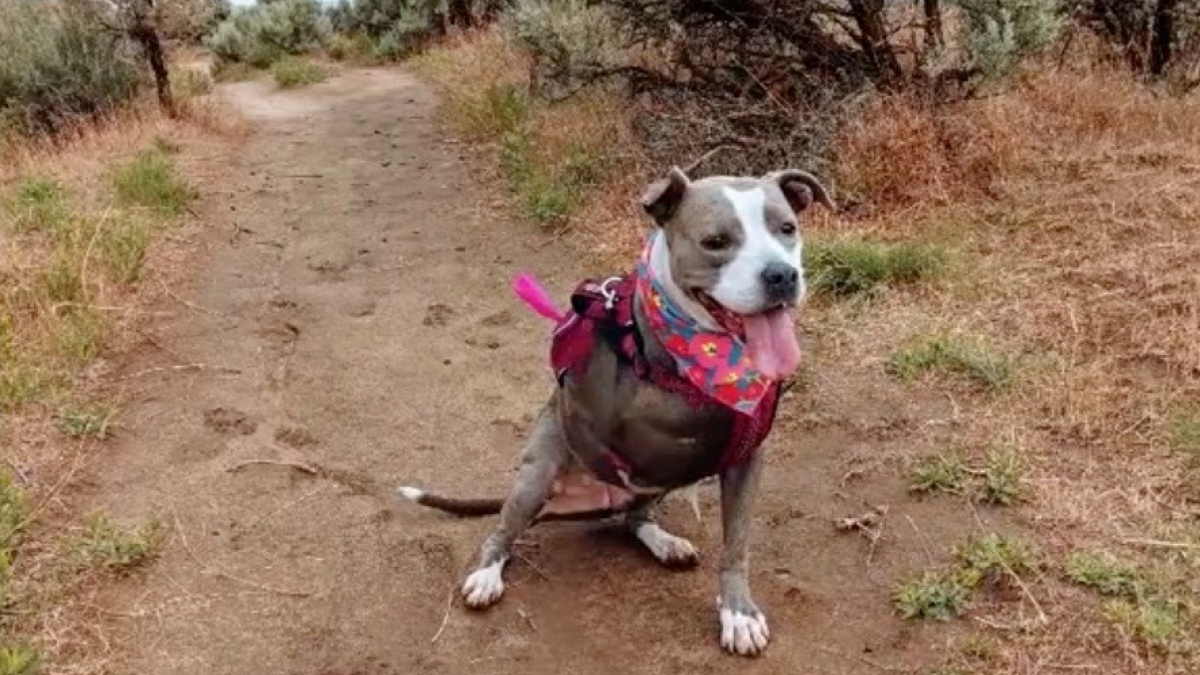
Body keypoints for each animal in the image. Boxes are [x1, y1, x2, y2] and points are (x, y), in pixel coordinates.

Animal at [403, 165, 835, 653]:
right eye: (715, 241)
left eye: (787, 229)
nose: (782, 275)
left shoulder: (745, 458)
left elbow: (736, 542)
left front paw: (738, 612)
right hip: (537, 477)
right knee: (504, 528)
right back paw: (486, 574)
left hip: (647, 487)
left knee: (633, 516)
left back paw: (664, 542)